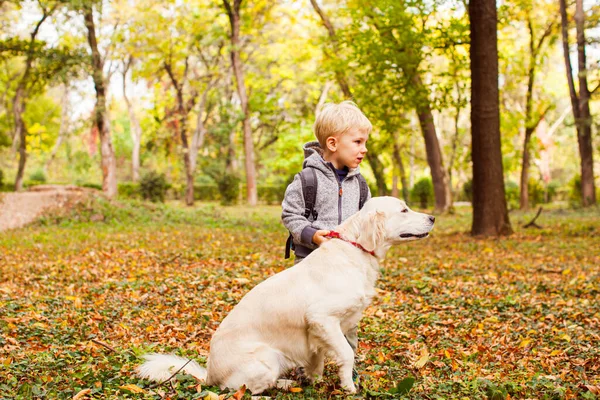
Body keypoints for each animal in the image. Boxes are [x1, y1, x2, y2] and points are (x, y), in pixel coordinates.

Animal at [138, 197, 434, 394]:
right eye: (404, 209)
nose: (432, 218)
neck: (355, 249)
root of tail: (209, 374)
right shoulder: (322, 318)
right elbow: (346, 354)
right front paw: (348, 385)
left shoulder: (316, 331)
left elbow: (318, 358)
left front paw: (315, 381)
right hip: (266, 358)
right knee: (243, 391)